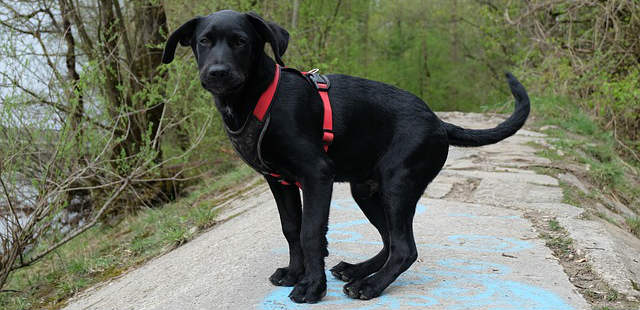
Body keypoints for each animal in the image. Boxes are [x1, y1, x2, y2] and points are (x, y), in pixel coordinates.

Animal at [161, 10, 528, 306]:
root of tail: (439, 123)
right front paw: (295, 273)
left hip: (398, 185)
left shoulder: (317, 175)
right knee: (389, 241)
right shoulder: (278, 181)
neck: (258, 97)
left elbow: (311, 232)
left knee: (404, 248)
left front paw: (311, 287)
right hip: (365, 190)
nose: (217, 72)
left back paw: (371, 285)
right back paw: (358, 271)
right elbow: (291, 228)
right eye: (204, 41)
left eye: (240, 41)